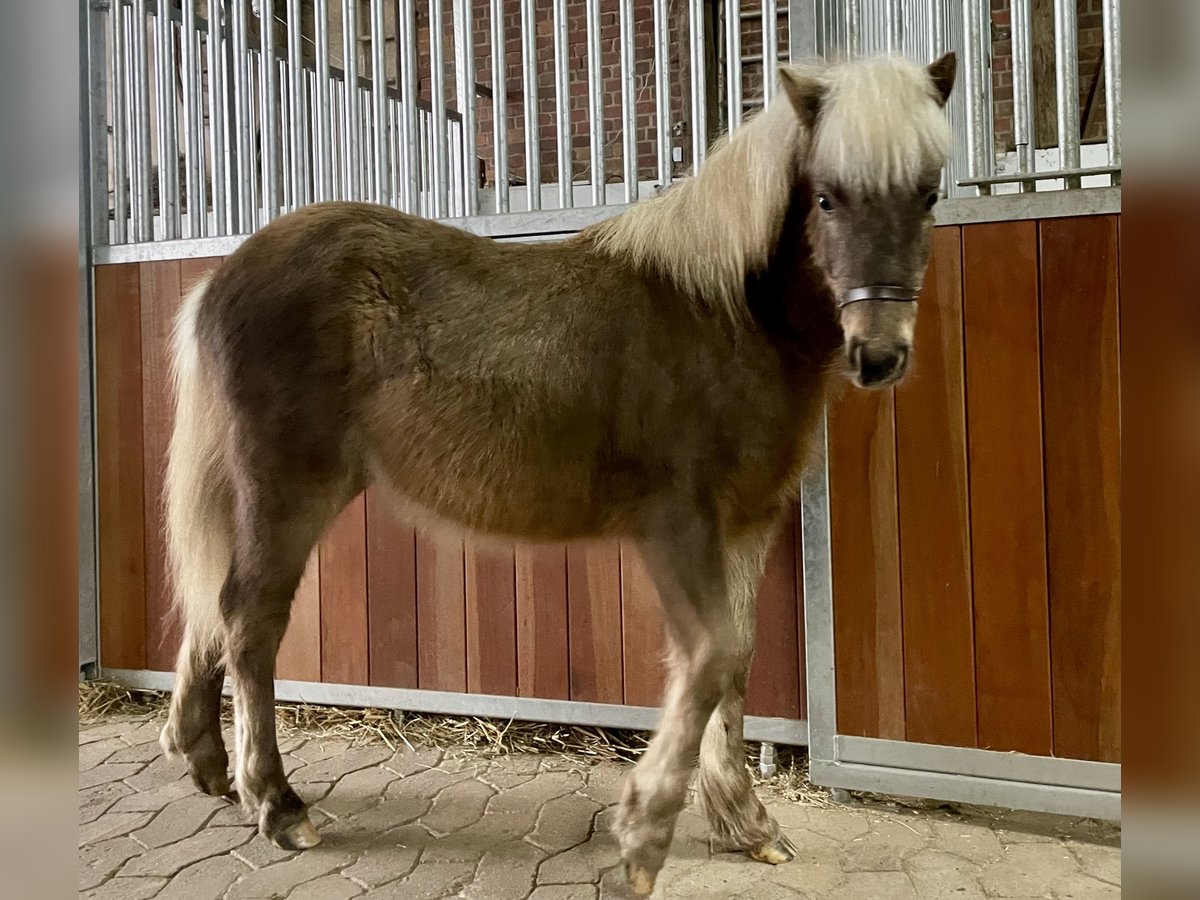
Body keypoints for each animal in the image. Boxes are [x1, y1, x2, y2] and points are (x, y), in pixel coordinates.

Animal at [162, 54, 955, 897]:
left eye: (929, 192)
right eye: (828, 197)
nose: (880, 354)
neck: (724, 314)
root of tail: (222, 278)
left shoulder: (747, 520)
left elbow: (735, 663)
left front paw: (746, 823)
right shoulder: (677, 521)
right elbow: (709, 655)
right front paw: (644, 833)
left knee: (213, 607)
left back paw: (208, 763)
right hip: (289, 488)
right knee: (249, 617)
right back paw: (278, 804)